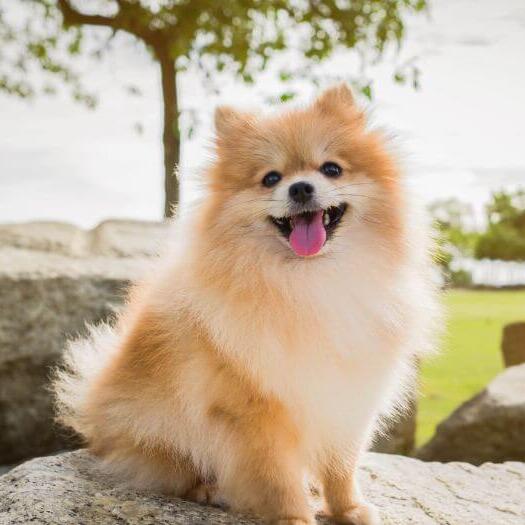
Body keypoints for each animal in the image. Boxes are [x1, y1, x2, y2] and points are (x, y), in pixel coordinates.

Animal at [53, 86, 438, 524]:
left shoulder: (345, 395)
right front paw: (293, 516)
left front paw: (348, 508)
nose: (300, 188)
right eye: (271, 178)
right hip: (157, 429)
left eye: (331, 169)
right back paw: (209, 490)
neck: (310, 281)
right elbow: (276, 474)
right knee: (173, 470)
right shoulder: (253, 410)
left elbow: (342, 463)